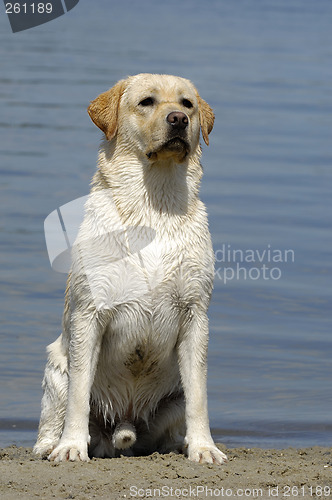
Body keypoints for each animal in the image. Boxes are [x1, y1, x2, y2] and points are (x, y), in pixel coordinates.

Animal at [33, 73, 227, 464]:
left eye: (187, 104)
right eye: (147, 102)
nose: (177, 120)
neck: (153, 209)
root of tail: (125, 423)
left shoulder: (195, 313)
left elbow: (199, 396)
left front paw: (203, 448)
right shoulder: (89, 314)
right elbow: (79, 394)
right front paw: (71, 445)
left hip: (171, 399)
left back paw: (179, 444)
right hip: (56, 368)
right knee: (57, 409)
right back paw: (50, 444)